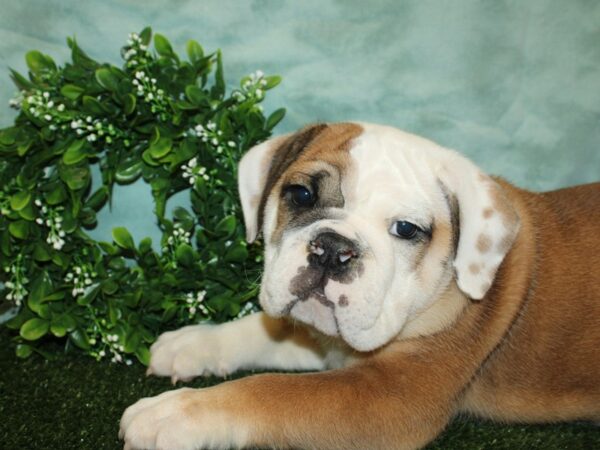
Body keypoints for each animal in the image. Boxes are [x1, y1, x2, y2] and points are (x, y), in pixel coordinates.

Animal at [118, 123, 600, 450]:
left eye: (406, 229)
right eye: (302, 195)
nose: (333, 249)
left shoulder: (389, 396)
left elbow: (271, 391)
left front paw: (175, 412)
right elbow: (258, 331)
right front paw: (194, 342)